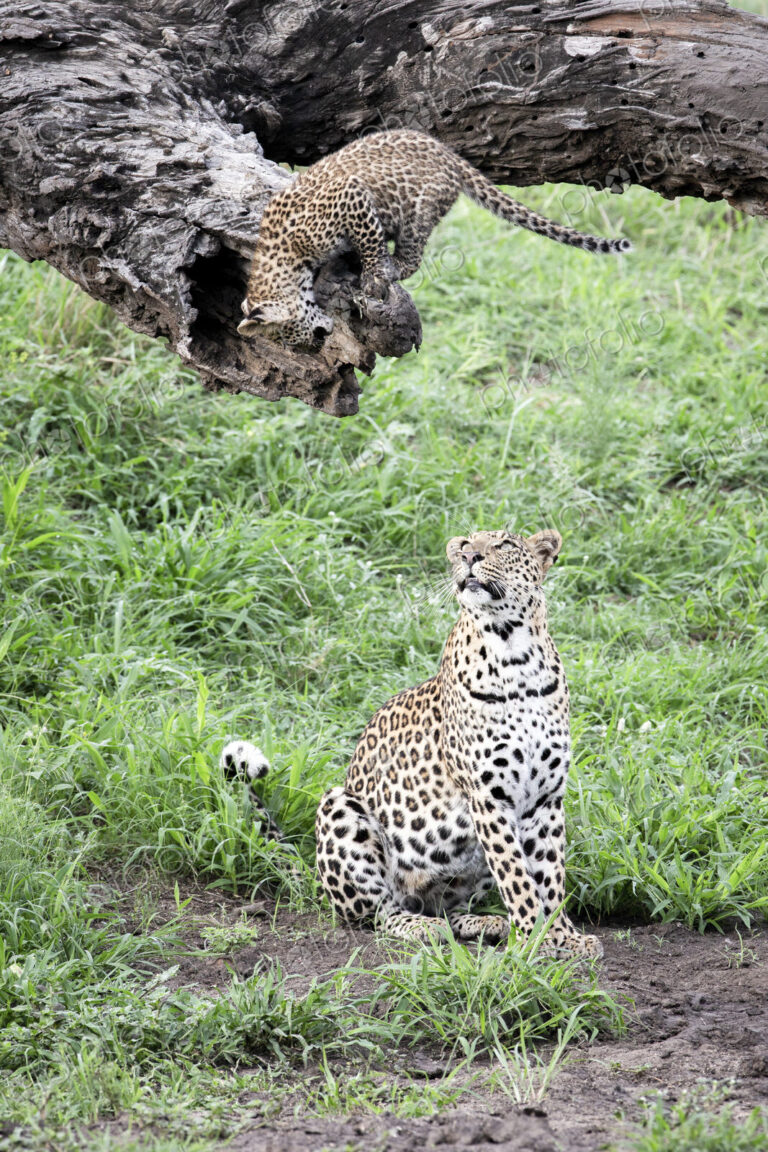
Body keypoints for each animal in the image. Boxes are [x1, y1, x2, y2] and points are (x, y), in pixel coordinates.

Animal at [223, 529, 602, 958]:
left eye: (504, 544)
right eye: (467, 542)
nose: (469, 557)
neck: (514, 649)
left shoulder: (545, 798)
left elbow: (550, 876)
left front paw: (563, 937)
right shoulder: (488, 796)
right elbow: (517, 877)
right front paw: (534, 939)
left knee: (448, 908)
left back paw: (485, 923)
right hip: (340, 810)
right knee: (381, 913)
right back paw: (422, 927)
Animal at [237, 129, 631, 351]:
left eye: (290, 335)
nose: (313, 348)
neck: (285, 257)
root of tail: (450, 155)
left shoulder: (351, 198)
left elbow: (370, 243)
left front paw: (374, 276)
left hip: (419, 210)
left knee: (412, 258)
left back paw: (391, 268)